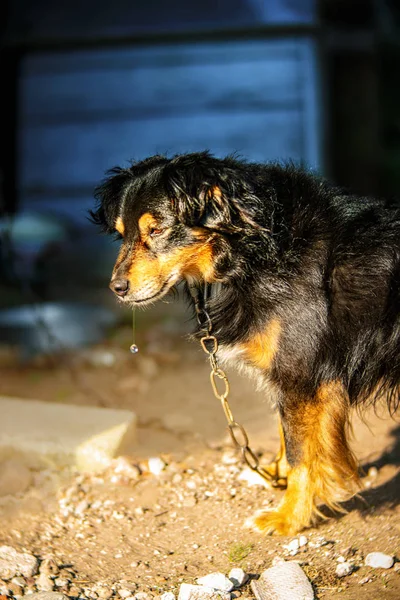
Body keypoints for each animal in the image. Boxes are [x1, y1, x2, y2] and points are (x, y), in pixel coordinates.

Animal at [90, 150, 400, 536]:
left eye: (157, 229)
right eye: (122, 234)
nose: (116, 288)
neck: (254, 250)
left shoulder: (303, 374)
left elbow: (301, 452)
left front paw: (290, 517)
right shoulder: (294, 376)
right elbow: (287, 435)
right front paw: (278, 477)